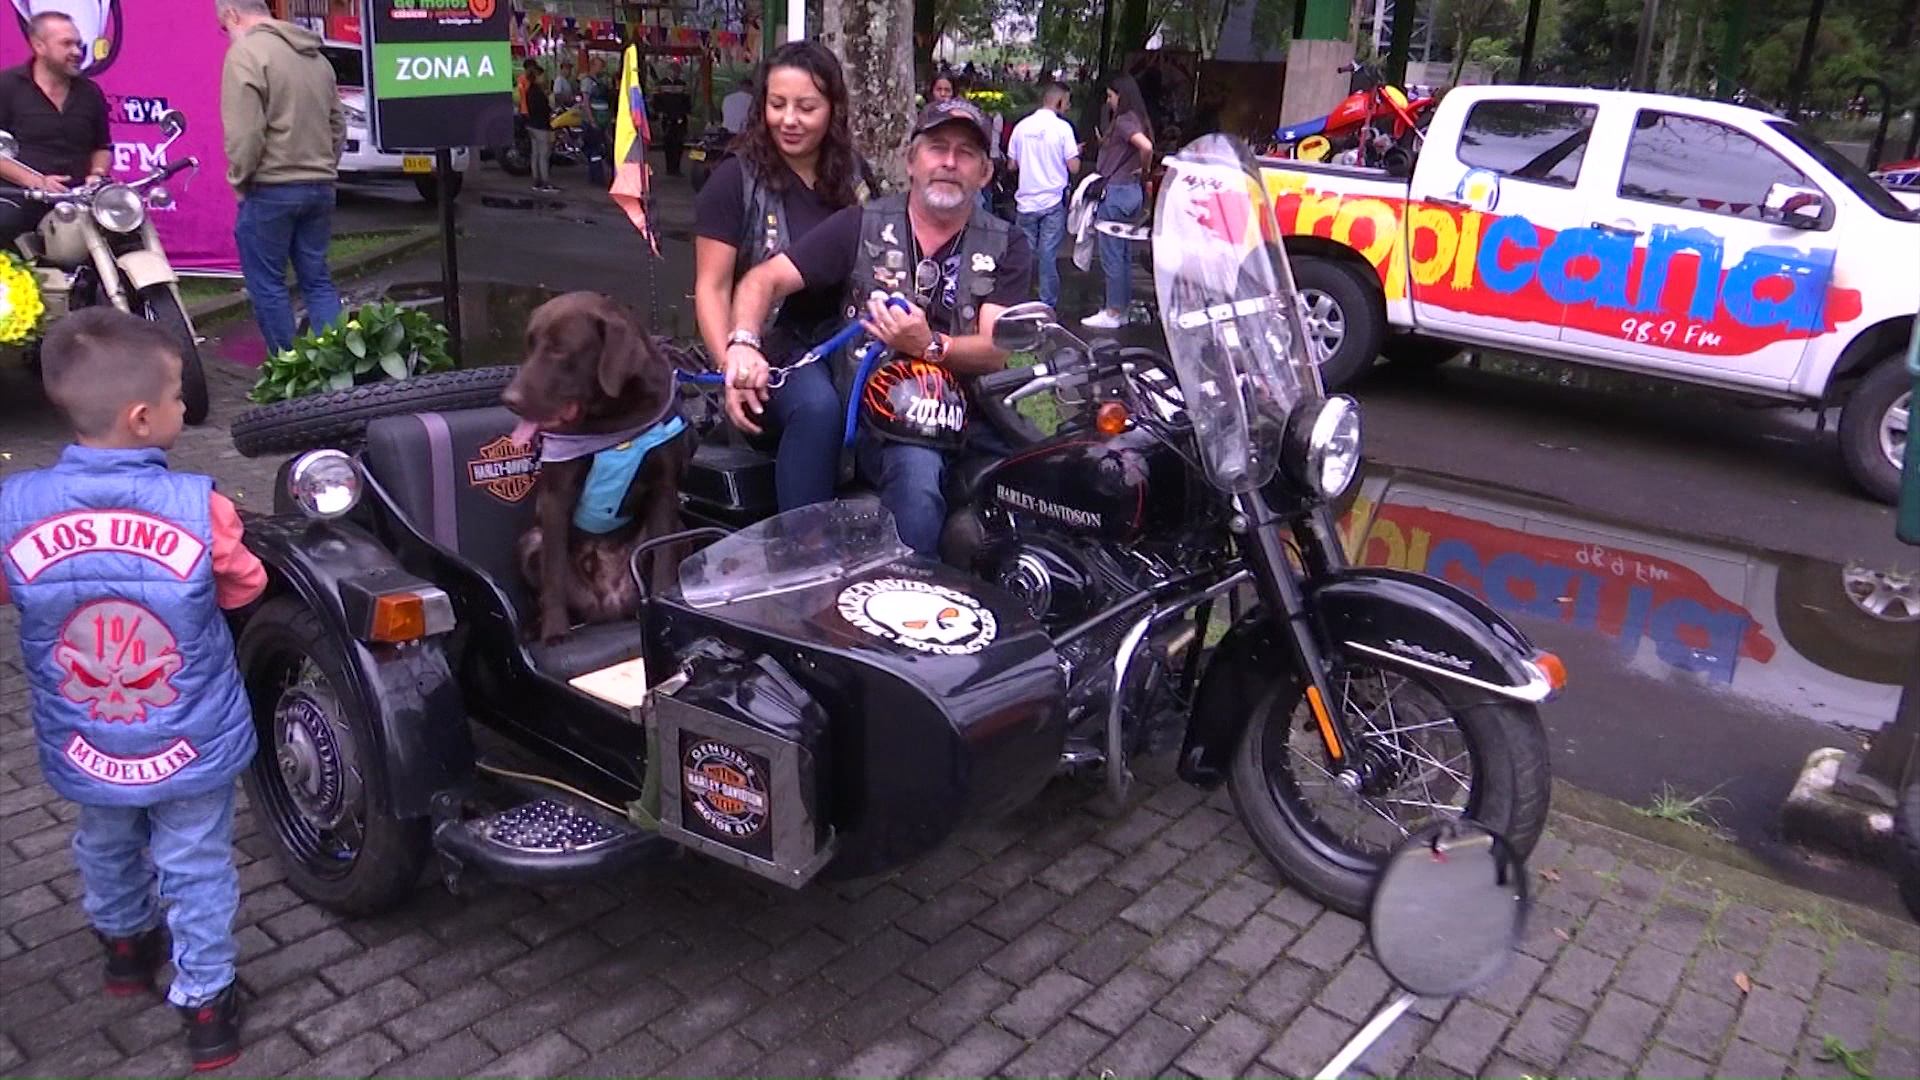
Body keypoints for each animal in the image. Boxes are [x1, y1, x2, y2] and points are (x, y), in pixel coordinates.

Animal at [506, 290, 695, 638]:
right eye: (530, 344)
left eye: (559, 349)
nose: (508, 399)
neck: (613, 419)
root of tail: (608, 607)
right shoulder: (556, 496)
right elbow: (553, 572)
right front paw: (555, 631)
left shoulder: (664, 488)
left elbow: (663, 557)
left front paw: (664, 602)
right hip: (530, 542)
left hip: (682, 529)